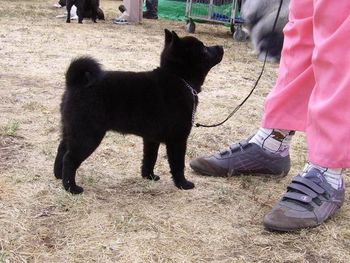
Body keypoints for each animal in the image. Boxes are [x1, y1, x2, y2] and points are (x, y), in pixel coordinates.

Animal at [54, 29, 224, 195]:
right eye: (203, 49)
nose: (220, 46)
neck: (179, 78)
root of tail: (74, 83)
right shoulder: (178, 139)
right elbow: (177, 164)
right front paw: (183, 184)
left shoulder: (151, 138)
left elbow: (150, 158)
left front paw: (149, 176)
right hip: (88, 135)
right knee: (70, 158)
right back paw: (71, 187)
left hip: (72, 130)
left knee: (62, 149)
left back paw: (58, 176)